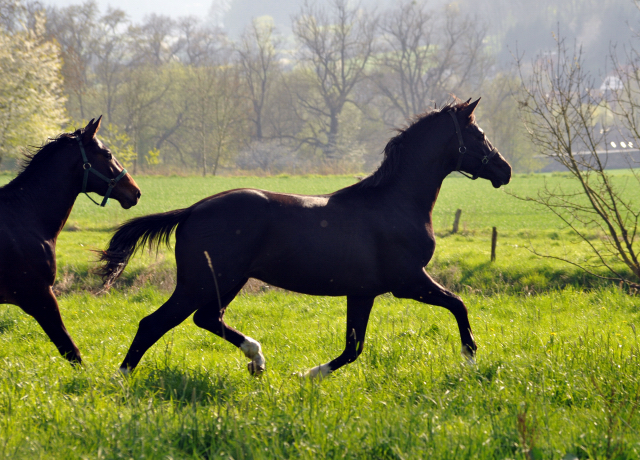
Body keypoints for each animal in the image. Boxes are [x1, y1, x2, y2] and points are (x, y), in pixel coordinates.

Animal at [99, 99, 510, 378]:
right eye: (478, 134)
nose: (504, 169)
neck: (395, 202)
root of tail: (192, 211)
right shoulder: (408, 281)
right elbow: (458, 305)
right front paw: (470, 358)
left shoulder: (363, 292)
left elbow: (353, 348)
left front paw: (307, 375)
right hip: (200, 283)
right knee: (154, 324)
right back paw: (123, 379)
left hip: (224, 282)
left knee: (206, 318)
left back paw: (256, 358)